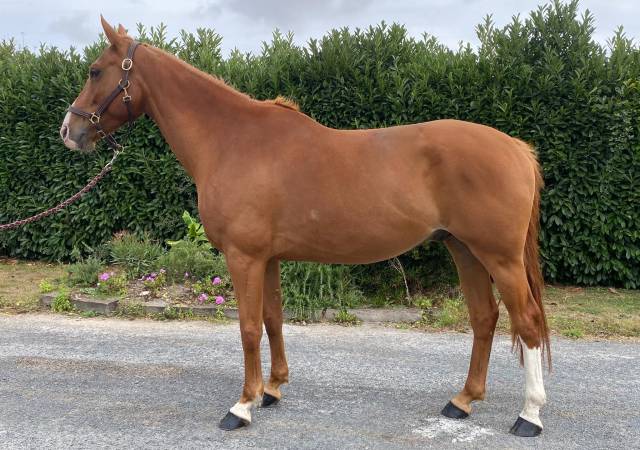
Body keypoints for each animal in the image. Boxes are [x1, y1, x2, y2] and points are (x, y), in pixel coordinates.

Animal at [61, 17, 550, 437]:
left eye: (95, 70)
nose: (69, 131)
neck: (232, 140)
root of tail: (516, 148)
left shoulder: (244, 257)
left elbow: (248, 327)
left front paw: (242, 406)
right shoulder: (269, 258)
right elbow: (273, 319)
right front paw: (272, 390)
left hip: (499, 257)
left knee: (526, 322)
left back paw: (529, 416)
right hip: (464, 249)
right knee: (484, 319)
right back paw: (462, 401)